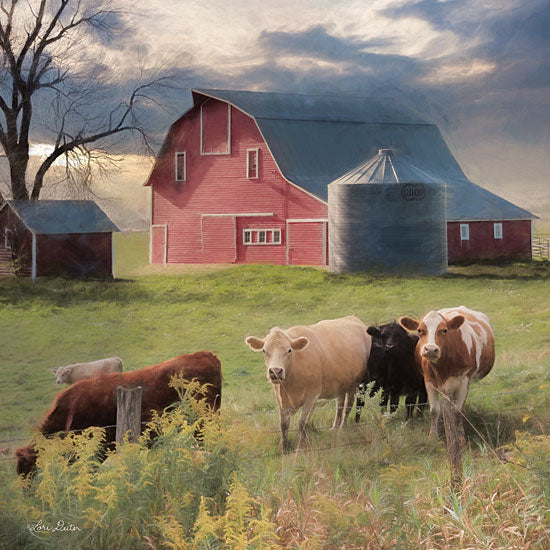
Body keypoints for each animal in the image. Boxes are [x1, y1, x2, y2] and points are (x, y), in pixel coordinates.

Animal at [402, 306, 496, 444]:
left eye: (444, 330)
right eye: (420, 330)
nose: (431, 349)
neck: (442, 367)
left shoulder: (464, 381)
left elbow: (458, 411)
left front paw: (461, 437)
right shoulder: (428, 381)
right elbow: (434, 410)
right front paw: (433, 437)